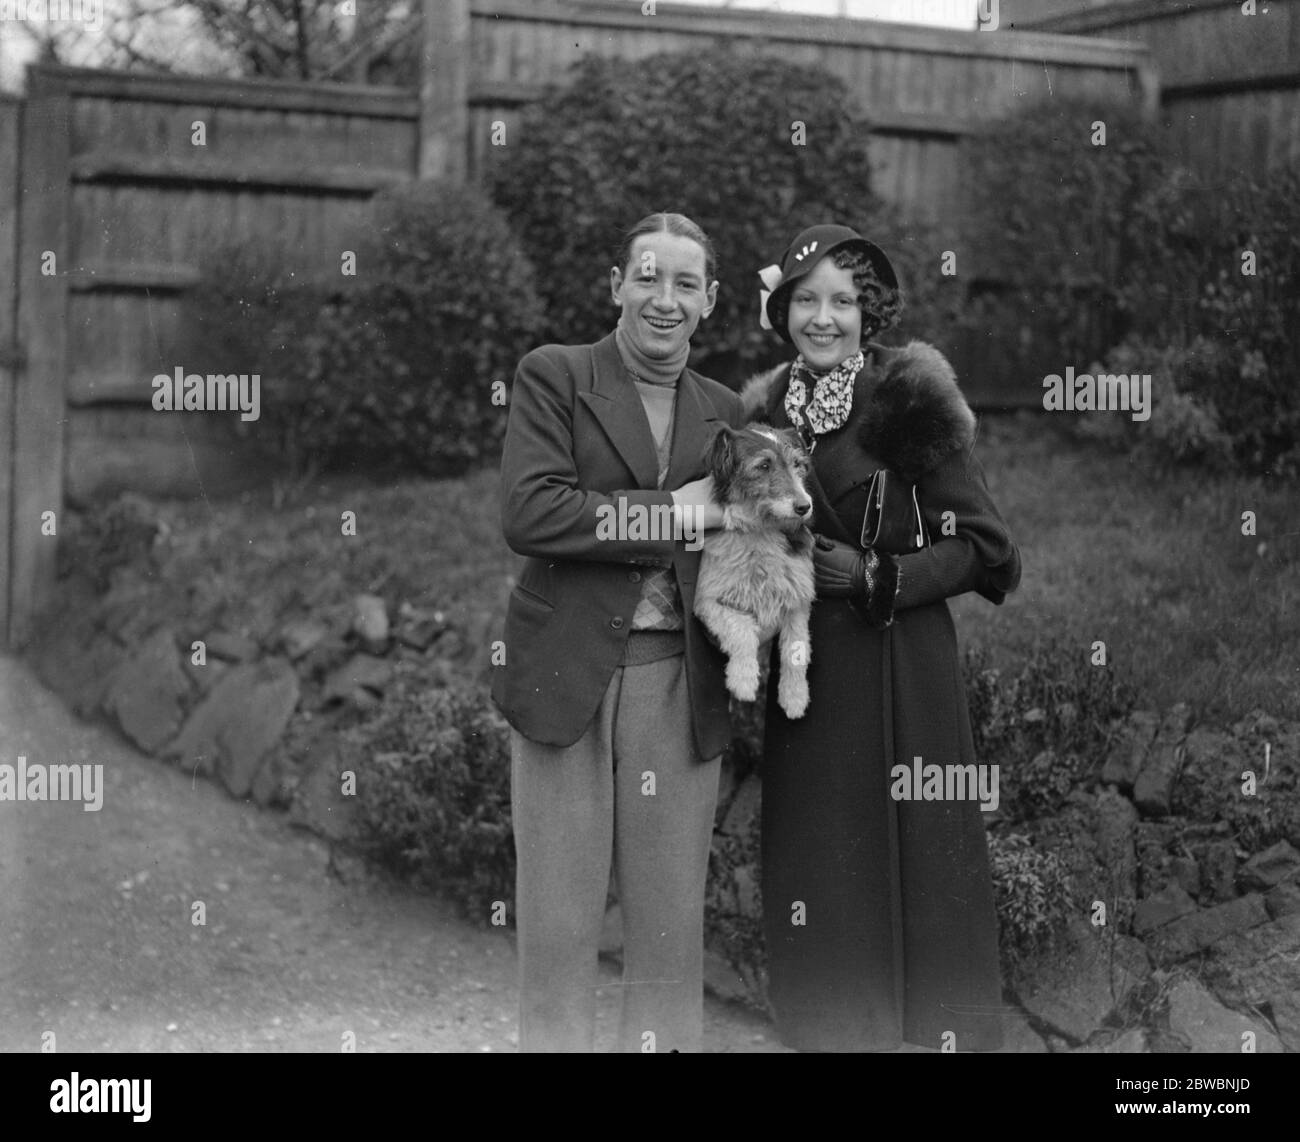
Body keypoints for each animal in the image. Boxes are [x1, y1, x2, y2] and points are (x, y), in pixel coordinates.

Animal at [691, 424, 811, 717]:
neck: (761, 531)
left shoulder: (798, 602)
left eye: (797, 464)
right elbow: (742, 630)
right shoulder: (707, 602)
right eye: (764, 465)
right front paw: (743, 680)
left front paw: (795, 696)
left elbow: (796, 650)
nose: (805, 507)